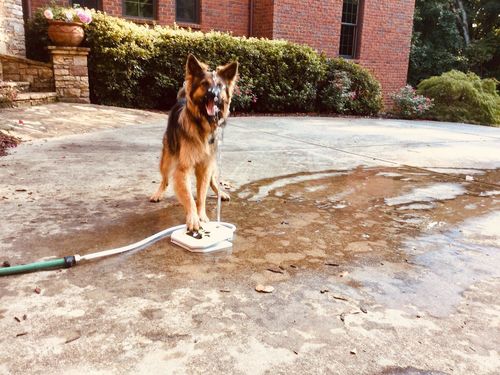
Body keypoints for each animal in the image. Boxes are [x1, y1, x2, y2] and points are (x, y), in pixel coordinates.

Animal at [150, 55, 238, 232]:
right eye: (205, 84)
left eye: (219, 86)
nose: (213, 94)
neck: (203, 126)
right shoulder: (182, 168)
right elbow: (189, 197)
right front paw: (193, 218)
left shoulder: (206, 165)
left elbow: (202, 194)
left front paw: (201, 215)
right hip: (167, 159)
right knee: (164, 179)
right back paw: (158, 194)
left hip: (213, 163)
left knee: (213, 181)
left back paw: (220, 193)